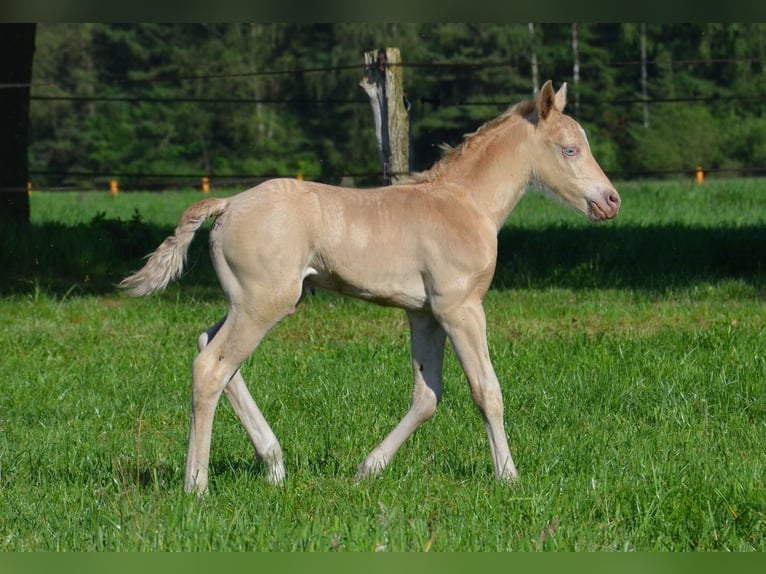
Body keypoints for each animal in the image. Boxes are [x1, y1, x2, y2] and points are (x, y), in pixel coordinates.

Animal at [121, 81, 624, 496]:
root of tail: (227, 204)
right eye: (570, 149)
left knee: (212, 349)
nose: (611, 200)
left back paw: (274, 464)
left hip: (254, 302)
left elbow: (427, 396)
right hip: (262, 304)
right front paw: (509, 476)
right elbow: (487, 390)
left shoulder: (424, 314)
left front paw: (368, 469)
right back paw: (197, 485)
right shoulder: (460, 308)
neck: (465, 204)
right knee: (211, 367)